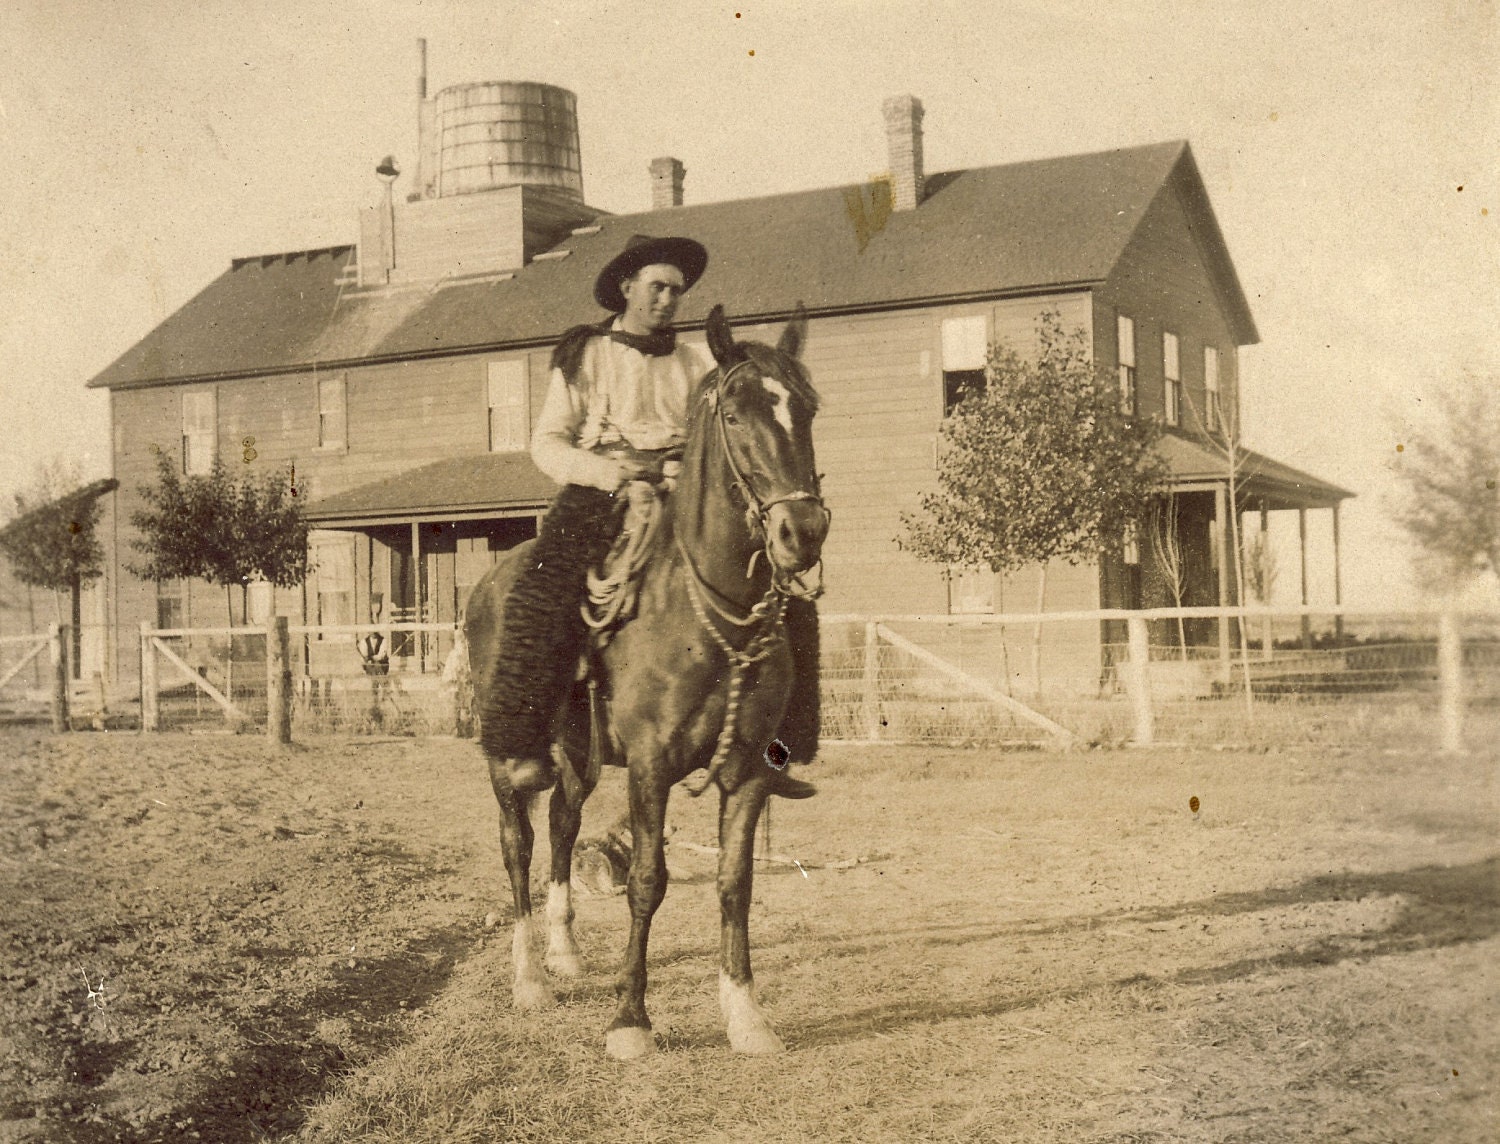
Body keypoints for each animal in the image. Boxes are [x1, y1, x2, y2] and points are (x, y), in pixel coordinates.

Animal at [462, 305, 828, 1067]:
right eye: (736, 414)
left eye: (806, 409)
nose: (802, 530)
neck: (702, 607)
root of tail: (488, 582)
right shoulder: (652, 767)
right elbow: (647, 881)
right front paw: (630, 1018)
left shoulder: (748, 771)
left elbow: (734, 883)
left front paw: (745, 1014)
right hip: (509, 760)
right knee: (519, 845)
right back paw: (530, 977)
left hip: (579, 759)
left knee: (563, 827)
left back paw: (566, 952)